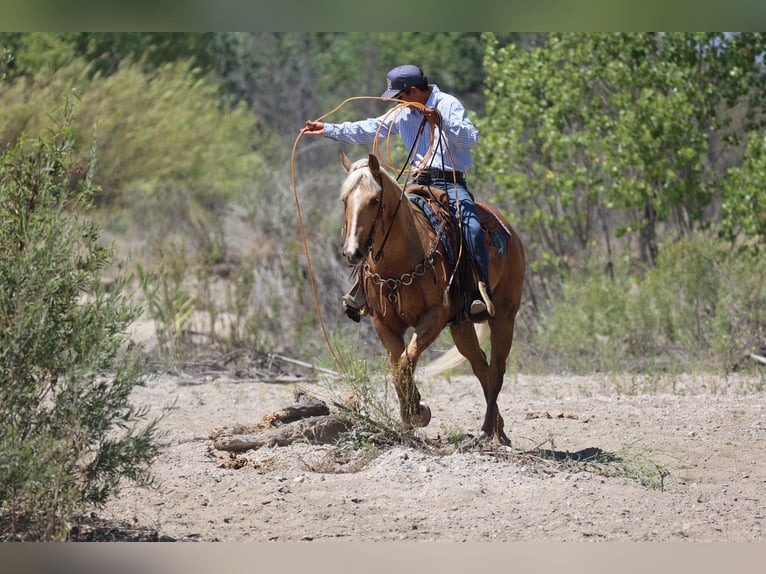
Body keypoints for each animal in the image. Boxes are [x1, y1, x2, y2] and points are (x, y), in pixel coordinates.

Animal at [339, 151, 525, 445]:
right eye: (345, 199)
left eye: (375, 200)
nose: (352, 252)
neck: (399, 259)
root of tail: (510, 232)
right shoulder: (384, 324)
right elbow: (399, 367)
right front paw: (408, 422)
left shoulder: (433, 318)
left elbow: (406, 361)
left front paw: (418, 412)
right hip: (461, 325)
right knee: (480, 365)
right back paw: (499, 429)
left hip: (504, 316)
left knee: (496, 369)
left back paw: (487, 431)